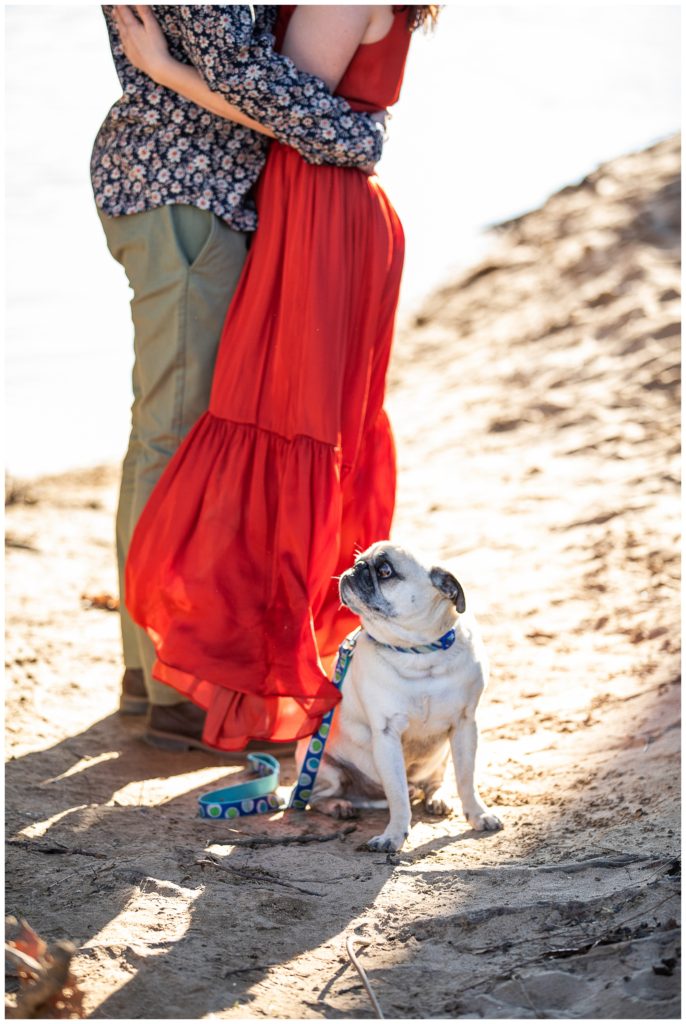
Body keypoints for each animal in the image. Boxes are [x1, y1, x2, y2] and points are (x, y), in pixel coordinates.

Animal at [301, 540, 505, 851]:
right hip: (323, 767)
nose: (356, 568)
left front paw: (478, 814)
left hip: (441, 755)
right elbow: (397, 794)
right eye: (359, 561)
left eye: (385, 570)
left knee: (434, 781)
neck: (418, 652)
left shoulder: (465, 725)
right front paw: (394, 835)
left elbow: (466, 779)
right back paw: (339, 805)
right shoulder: (387, 735)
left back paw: (437, 797)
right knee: (317, 797)